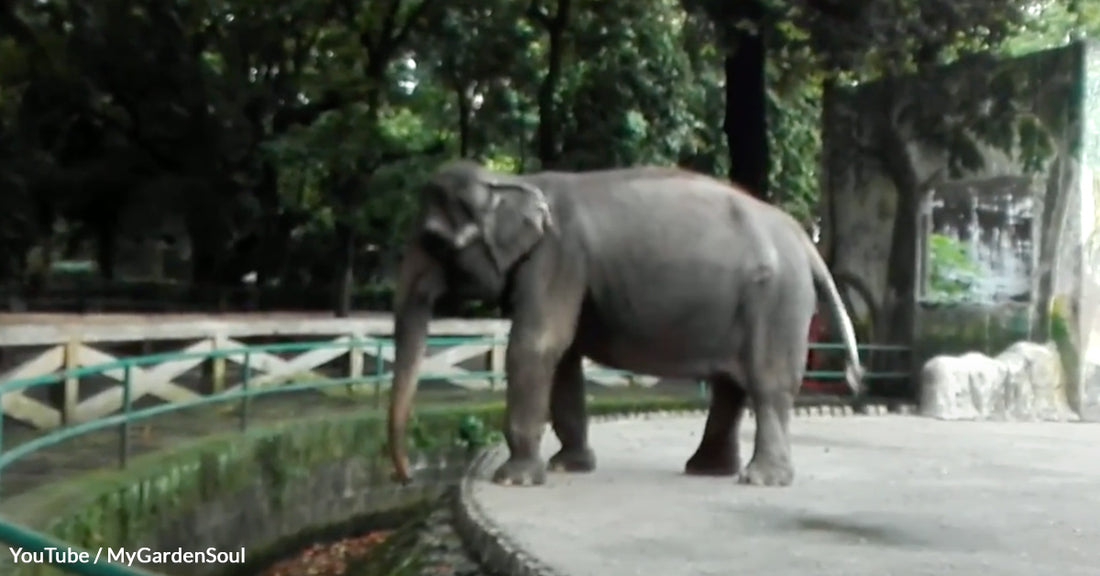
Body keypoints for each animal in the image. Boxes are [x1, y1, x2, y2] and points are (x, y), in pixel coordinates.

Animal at [387, 159, 863, 488]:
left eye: (434, 241)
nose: (409, 477)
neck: (515, 181)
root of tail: (802, 236)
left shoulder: (558, 257)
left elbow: (537, 345)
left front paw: (514, 479)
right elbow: (563, 358)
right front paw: (569, 467)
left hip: (777, 299)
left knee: (768, 385)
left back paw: (760, 479)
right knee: (730, 386)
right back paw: (707, 469)